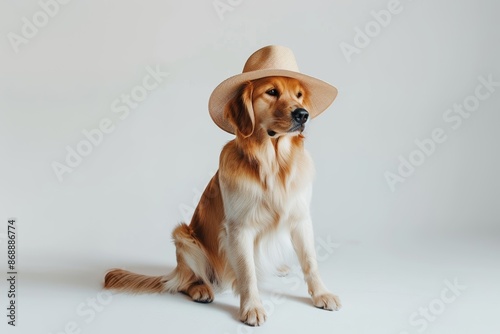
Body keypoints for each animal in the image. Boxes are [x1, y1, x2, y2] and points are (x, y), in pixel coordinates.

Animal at [104, 44, 342, 326]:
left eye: (299, 95)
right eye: (271, 92)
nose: (302, 114)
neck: (273, 164)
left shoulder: (300, 218)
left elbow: (310, 261)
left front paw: (322, 294)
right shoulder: (239, 228)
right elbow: (248, 273)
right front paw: (252, 307)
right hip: (183, 237)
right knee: (184, 282)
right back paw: (201, 289)